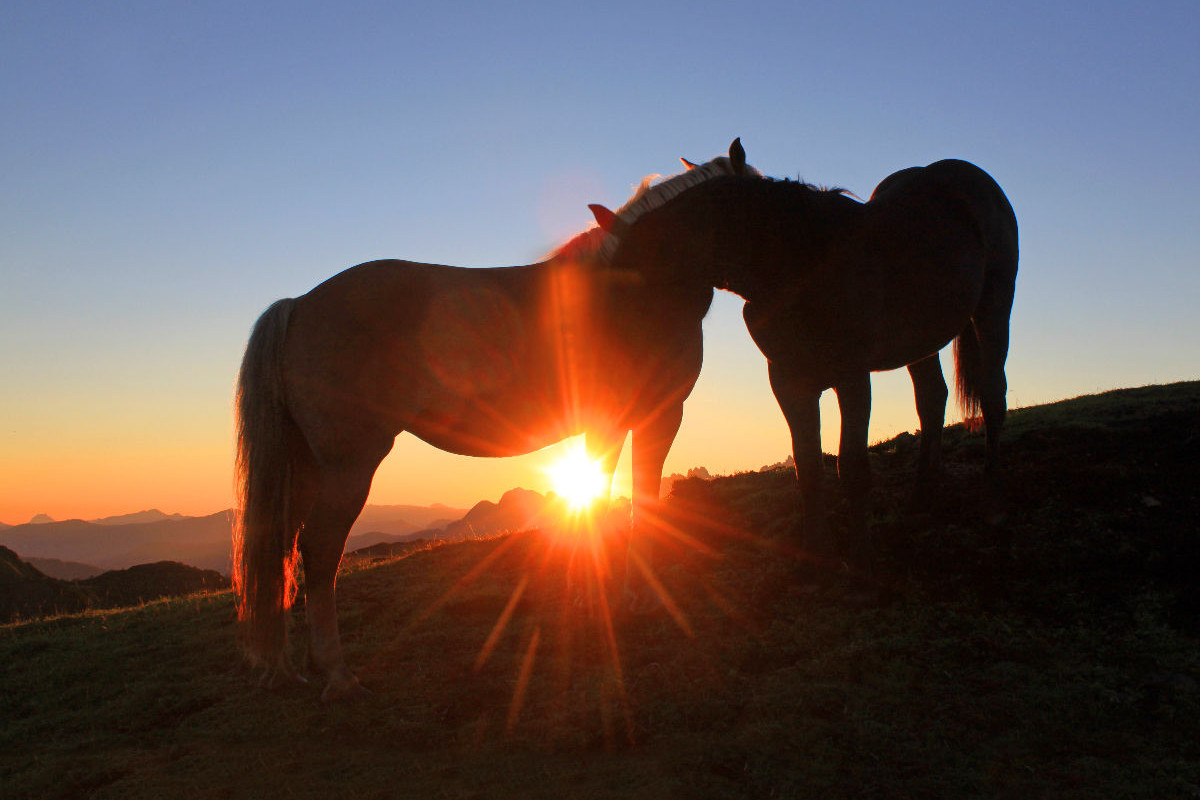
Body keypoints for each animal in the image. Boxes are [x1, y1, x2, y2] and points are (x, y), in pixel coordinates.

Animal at [232, 148, 753, 700]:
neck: (642, 281)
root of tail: (299, 305)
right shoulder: (660, 416)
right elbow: (641, 503)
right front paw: (635, 598)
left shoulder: (608, 426)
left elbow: (599, 502)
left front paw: (591, 597)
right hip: (349, 465)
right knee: (320, 549)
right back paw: (337, 672)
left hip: (306, 465)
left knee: (281, 547)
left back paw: (289, 666)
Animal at [588, 146, 1012, 566]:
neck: (802, 263)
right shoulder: (789, 382)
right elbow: (807, 466)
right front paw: (815, 553)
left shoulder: (851, 376)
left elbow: (851, 464)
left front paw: (860, 554)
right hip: (921, 342)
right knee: (931, 399)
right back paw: (923, 497)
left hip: (992, 309)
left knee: (992, 392)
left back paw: (993, 497)